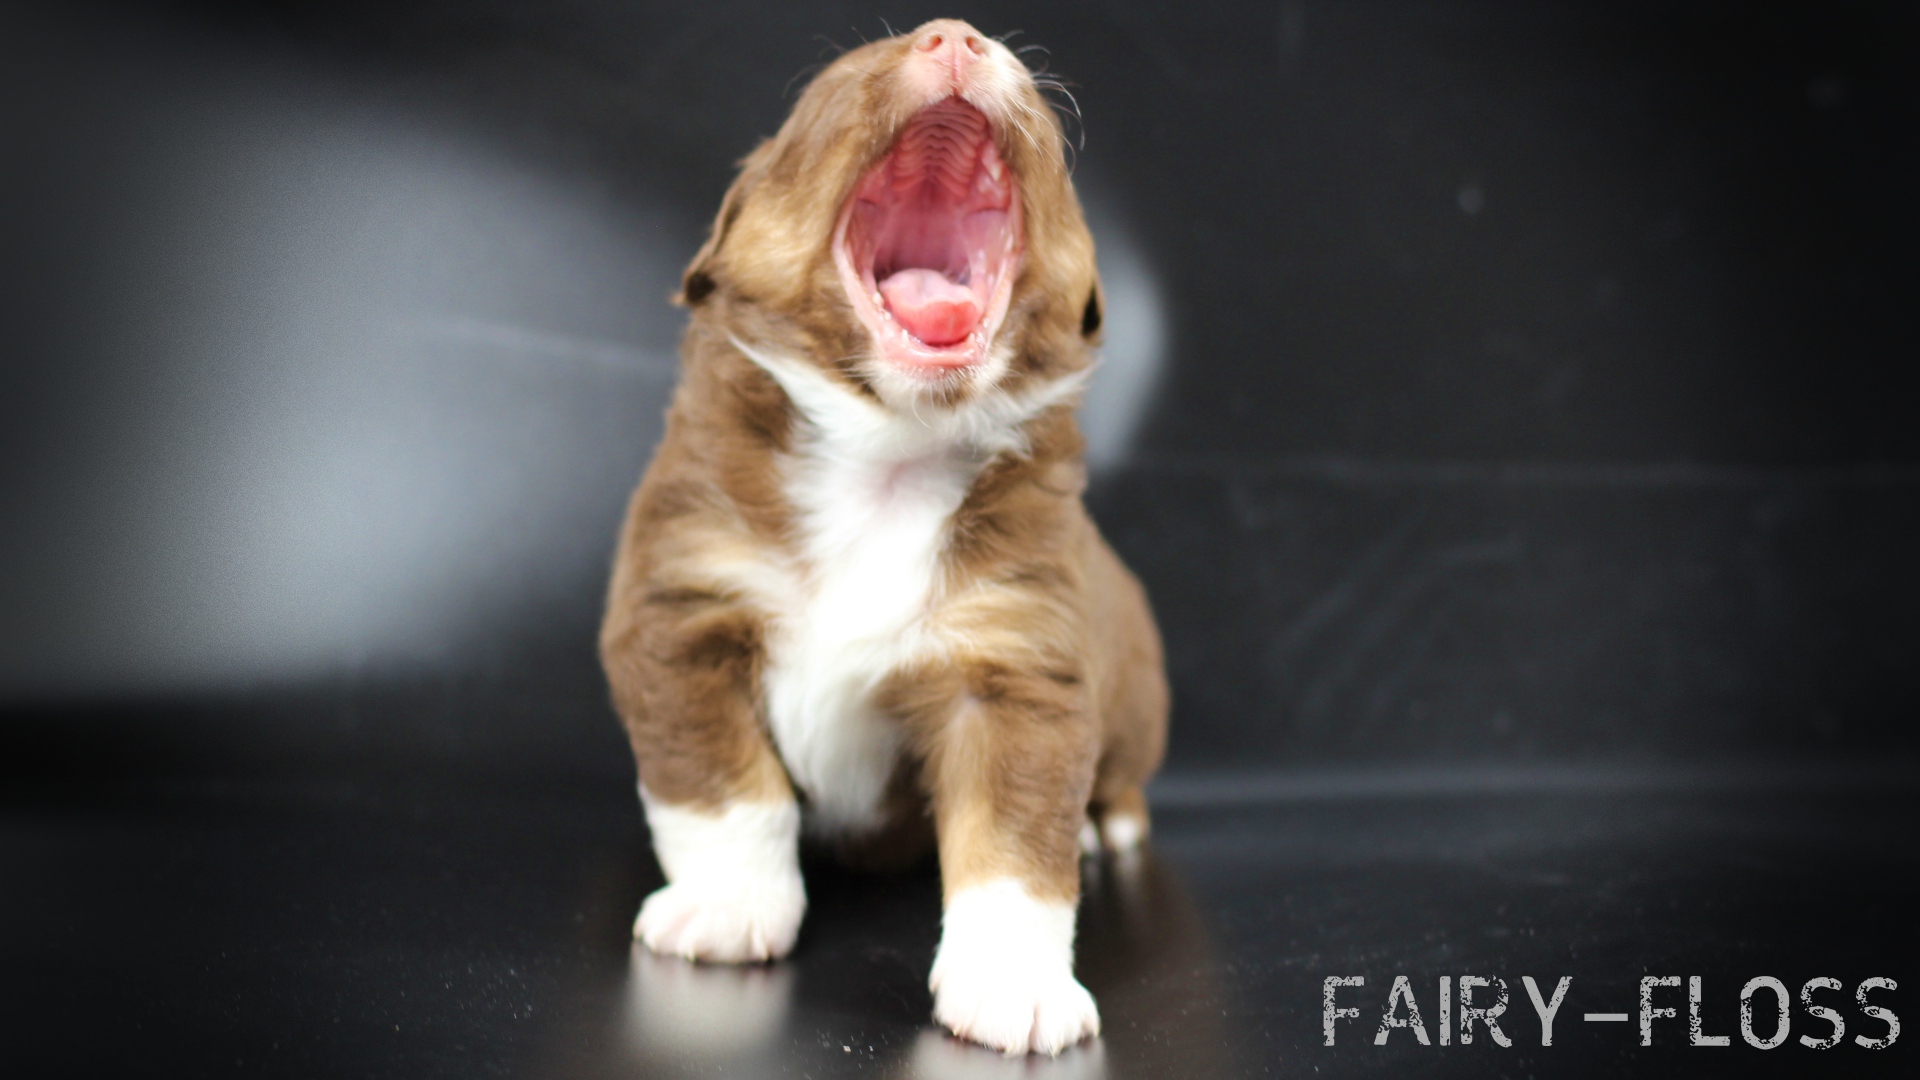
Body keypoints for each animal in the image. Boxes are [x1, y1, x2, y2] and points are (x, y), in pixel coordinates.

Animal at [599, 19, 1168, 1056]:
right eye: (835, 86)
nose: (959, 34)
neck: (887, 461)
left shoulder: (1014, 664)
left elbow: (1014, 846)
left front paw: (1015, 985)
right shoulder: (680, 612)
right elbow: (721, 786)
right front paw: (727, 909)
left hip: (1140, 696)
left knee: (1117, 780)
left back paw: (1110, 824)